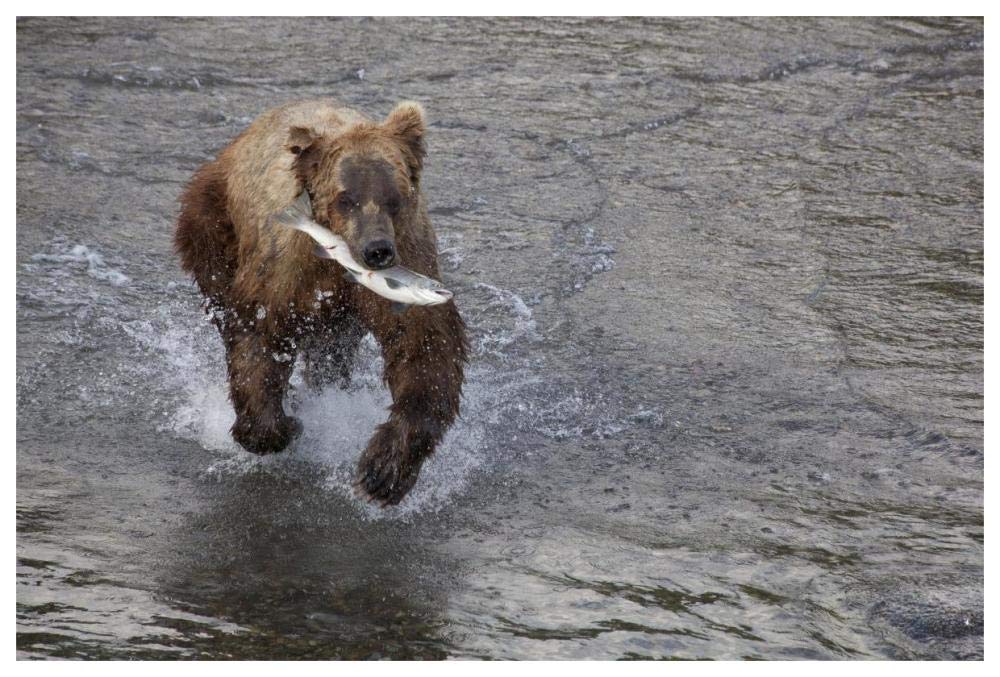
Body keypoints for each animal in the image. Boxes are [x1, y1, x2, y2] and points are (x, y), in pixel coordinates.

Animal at [174, 99, 468, 506]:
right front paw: (282, 426)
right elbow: (259, 335)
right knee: (221, 292)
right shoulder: (285, 270)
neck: (336, 263)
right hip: (214, 219)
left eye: (394, 197)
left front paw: (383, 471)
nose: (377, 250)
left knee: (332, 349)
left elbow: (424, 349)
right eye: (346, 198)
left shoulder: (409, 256)